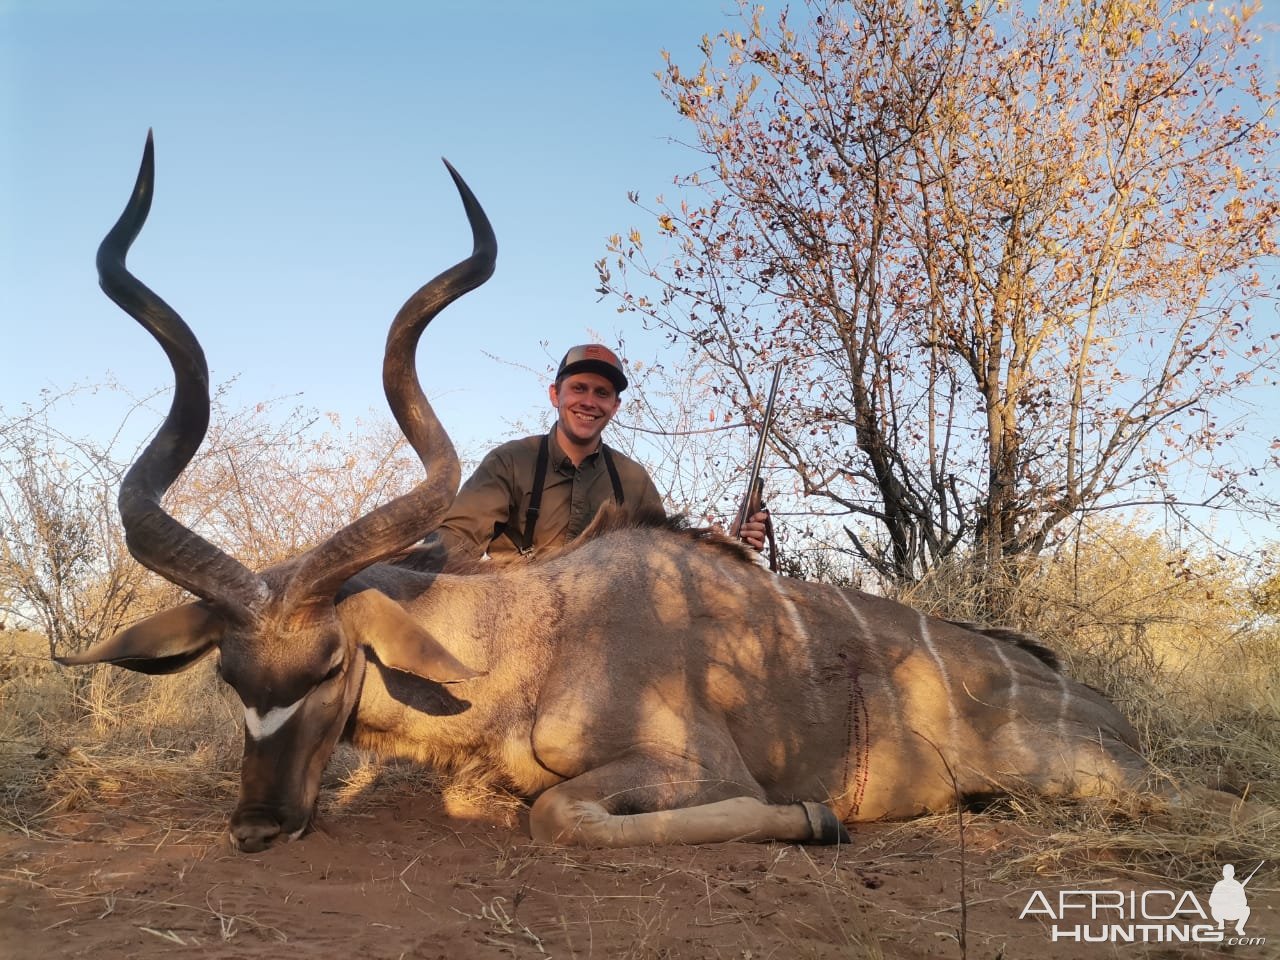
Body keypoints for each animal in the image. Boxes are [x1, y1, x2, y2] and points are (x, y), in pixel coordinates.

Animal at [62, 133, 1162, 849]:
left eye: (332, 664)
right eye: (227, 675)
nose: (255, 828)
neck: (525, 642)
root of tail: (1106, 714)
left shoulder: (692, 766)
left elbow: (560, 817)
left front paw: (814, 816)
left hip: (1092, 790)